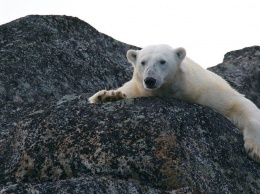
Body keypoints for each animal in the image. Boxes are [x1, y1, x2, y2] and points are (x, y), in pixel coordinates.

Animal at [89, 44, 260, 162]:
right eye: (143, 62)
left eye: (162, 61)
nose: (150, 80)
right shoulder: (138, 88)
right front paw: (108, 96)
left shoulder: (206, 89)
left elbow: (240, 105)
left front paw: (255, 150)